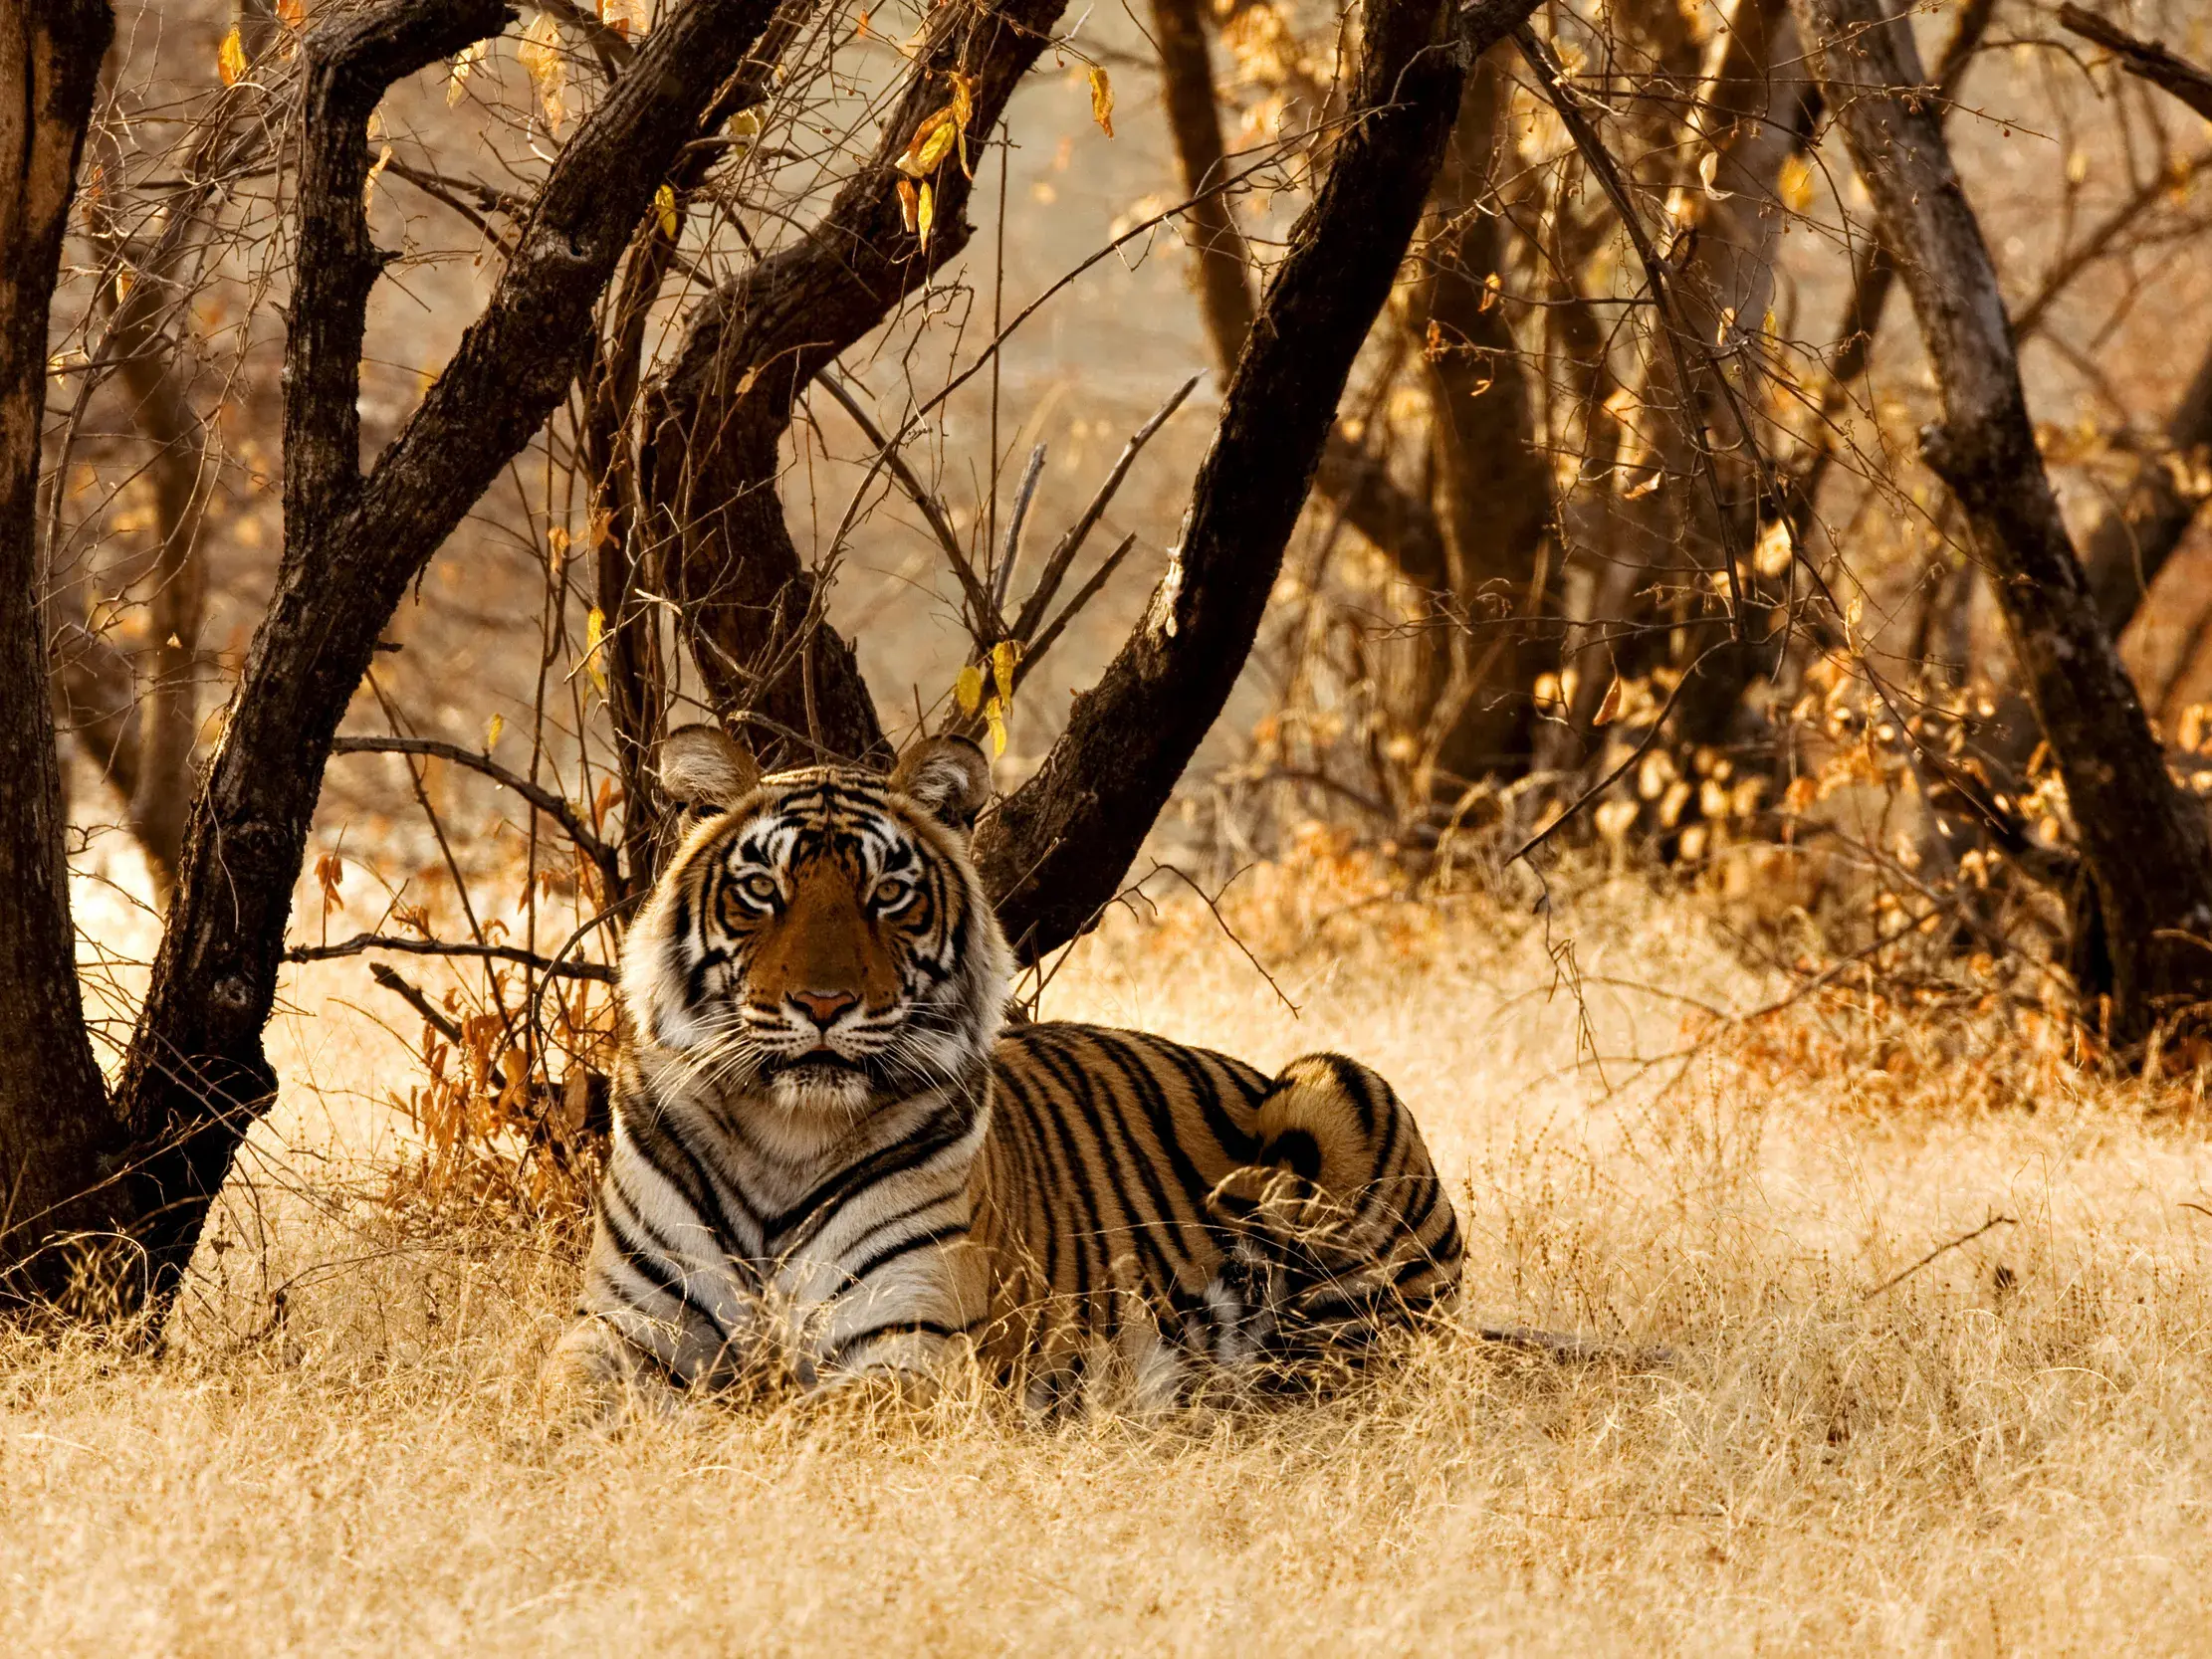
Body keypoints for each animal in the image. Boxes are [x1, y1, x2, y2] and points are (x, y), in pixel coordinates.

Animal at [545, 724, 1463, 1418]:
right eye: (763, 890)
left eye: (887, 893)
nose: (823, 1002)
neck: (785, 1135)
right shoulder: (624, 1324)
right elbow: (561, 1397)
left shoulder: (911, 1345)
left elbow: (787, 1419)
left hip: (1338, 1089)